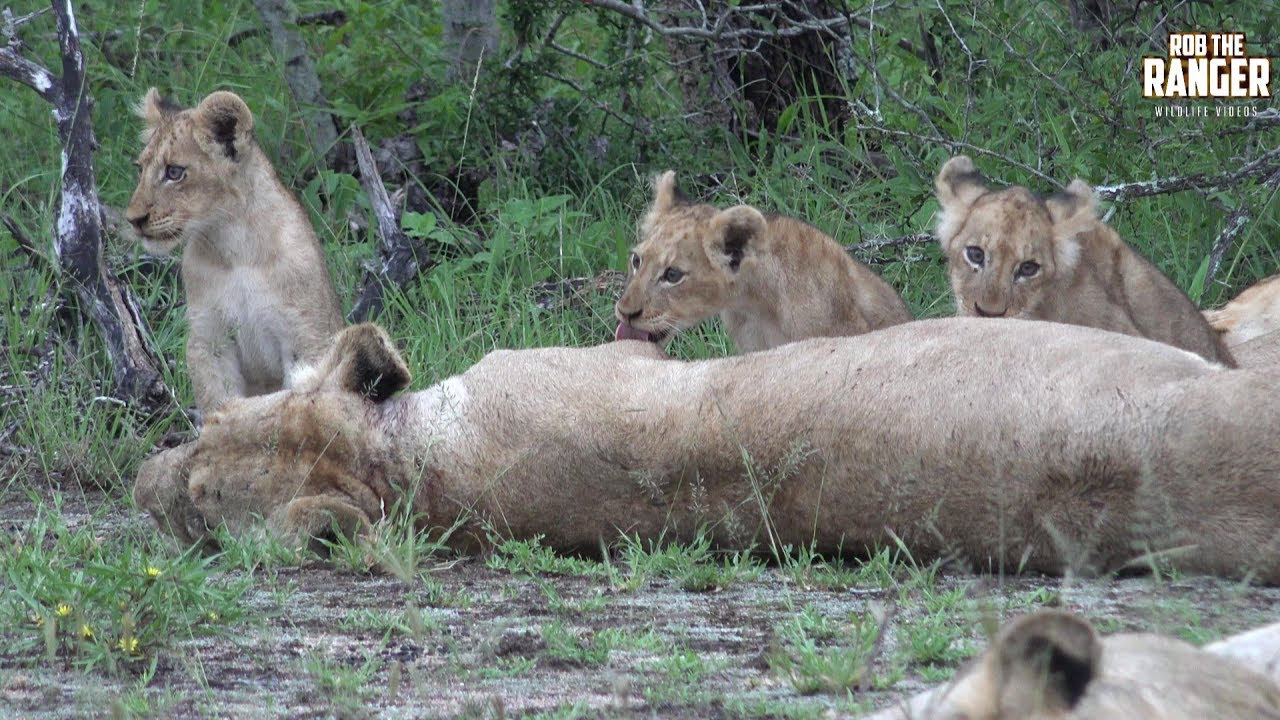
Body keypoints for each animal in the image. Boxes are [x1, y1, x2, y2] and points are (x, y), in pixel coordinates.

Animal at [125, 88, 344, 414]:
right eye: (140, 169)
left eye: (174, 172)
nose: (133, 219)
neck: (234, 249)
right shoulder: (210, 342)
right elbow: (220, 404)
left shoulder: (307, 341)